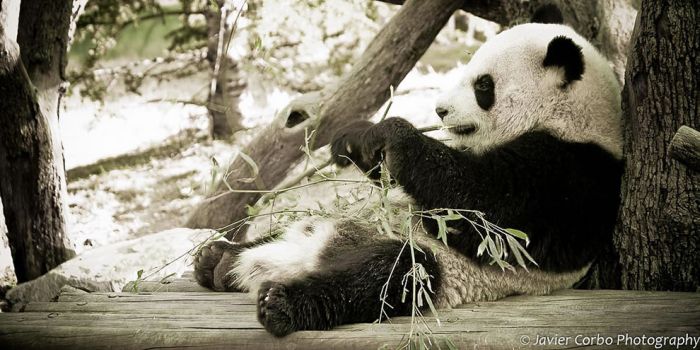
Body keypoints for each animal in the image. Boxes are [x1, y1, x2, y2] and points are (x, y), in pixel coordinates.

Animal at [193, 15, 624, 336]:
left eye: (483, 85)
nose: (440, 110)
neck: (569, 117)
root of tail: (310, 252)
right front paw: (356, 138)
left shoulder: (571, 173)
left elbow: (487, 213)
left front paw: (395, 133)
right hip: (328, 222)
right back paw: (218, 259)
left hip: (434, 266)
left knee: (382, 276)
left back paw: (279, 301)